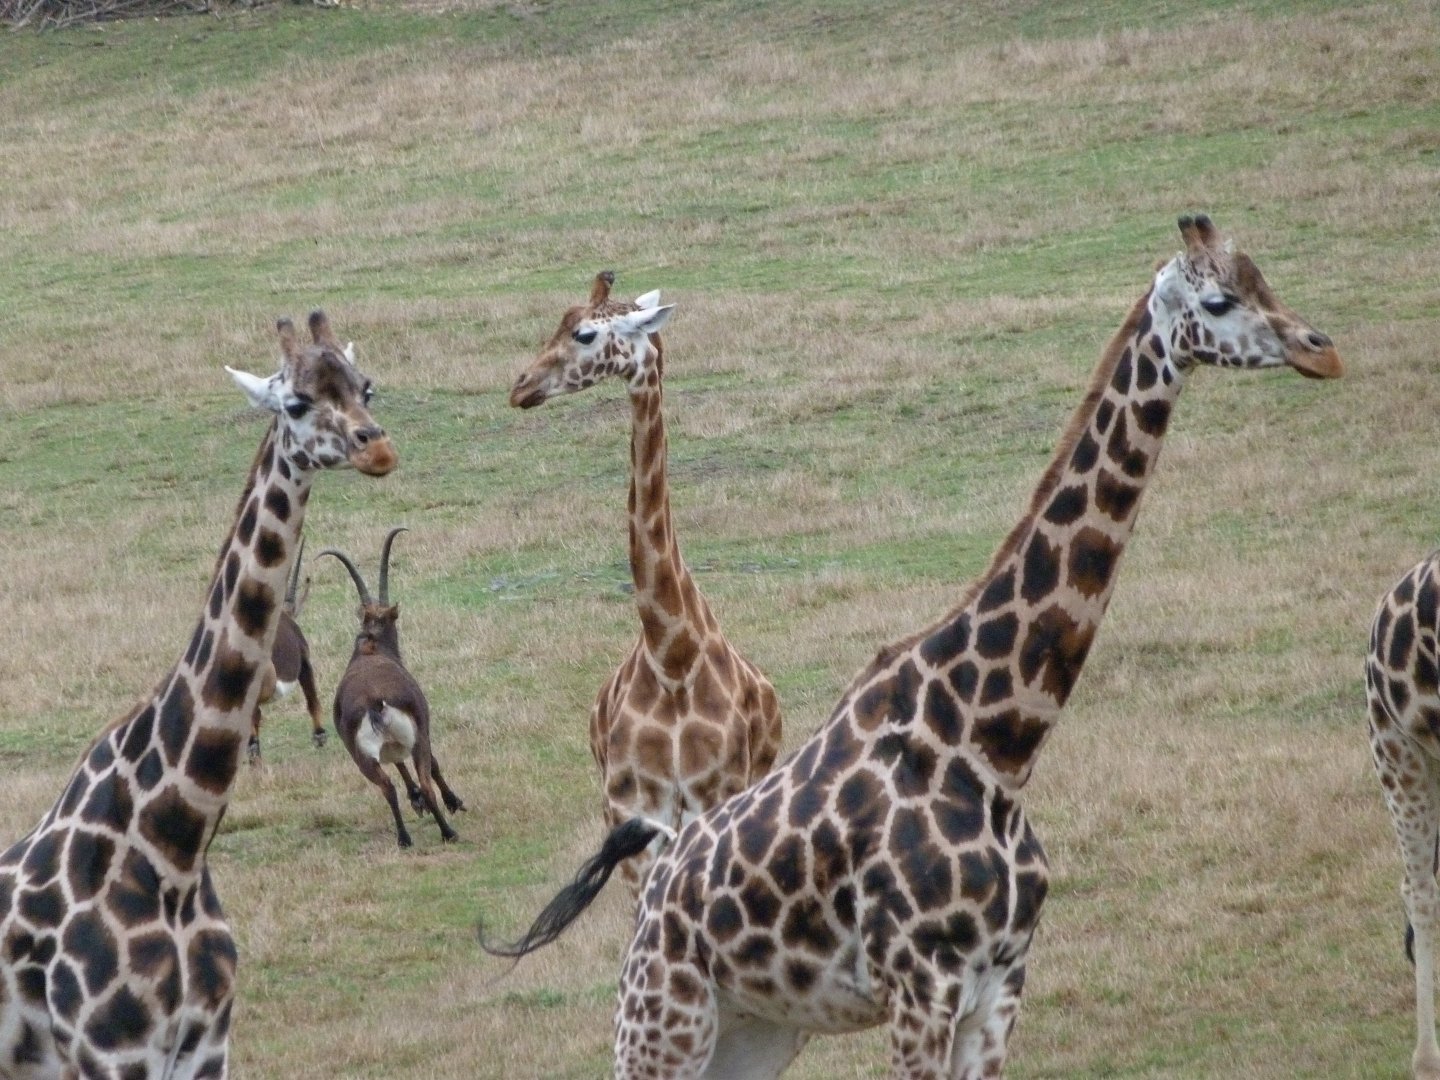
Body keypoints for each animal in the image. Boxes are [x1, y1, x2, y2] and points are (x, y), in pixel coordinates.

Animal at [0, 312, 396, 1078]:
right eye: (295, 402)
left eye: (365, 386)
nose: (379, 447)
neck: (172, 849)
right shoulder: (110, 1052)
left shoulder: (206, 1045)